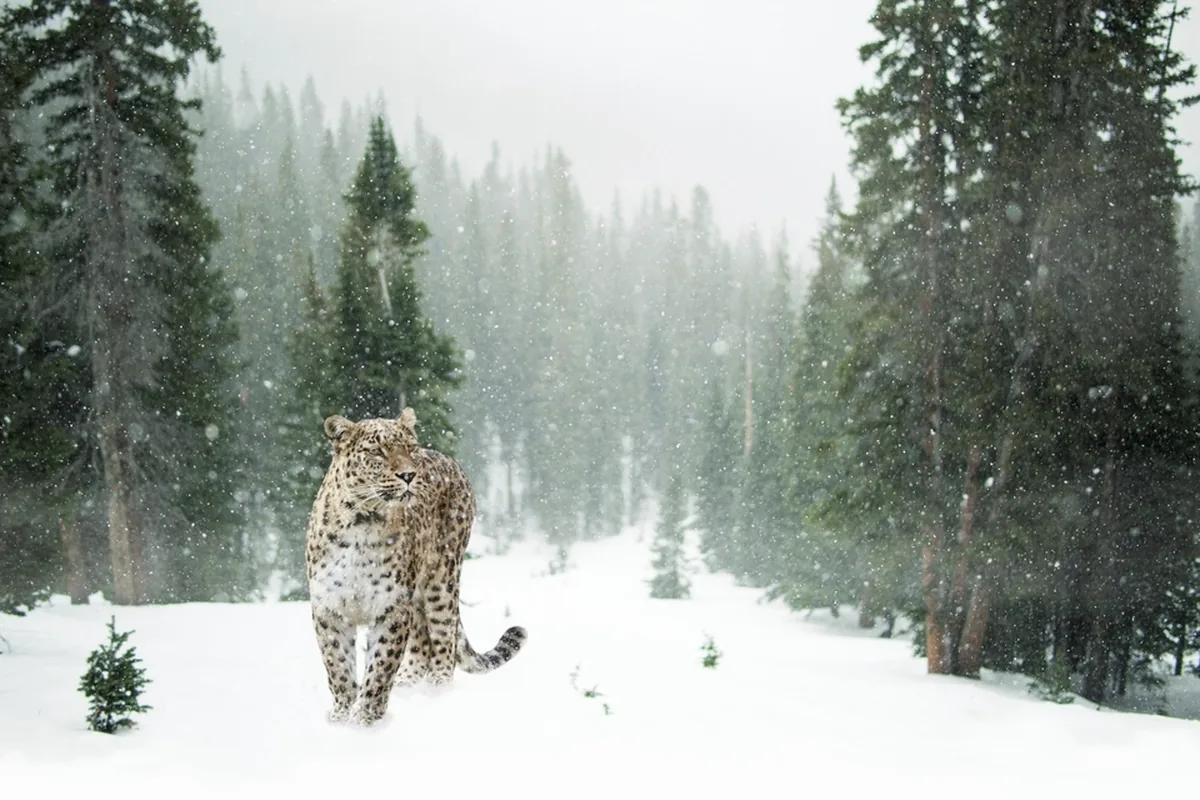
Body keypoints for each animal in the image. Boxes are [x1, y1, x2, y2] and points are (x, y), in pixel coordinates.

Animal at [305, 407, 526, 726]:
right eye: (377, 451)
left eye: (410, 448)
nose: (409, 475)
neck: (362, 522)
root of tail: (450, 460)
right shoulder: (329, 608)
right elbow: (338, 667)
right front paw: (341, 716)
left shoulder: (392, 607)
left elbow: (381, 666)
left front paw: (365, 719)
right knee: (422, 642)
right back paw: (408, 685)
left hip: (442, 580)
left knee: (443, 639)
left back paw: (437, 692)